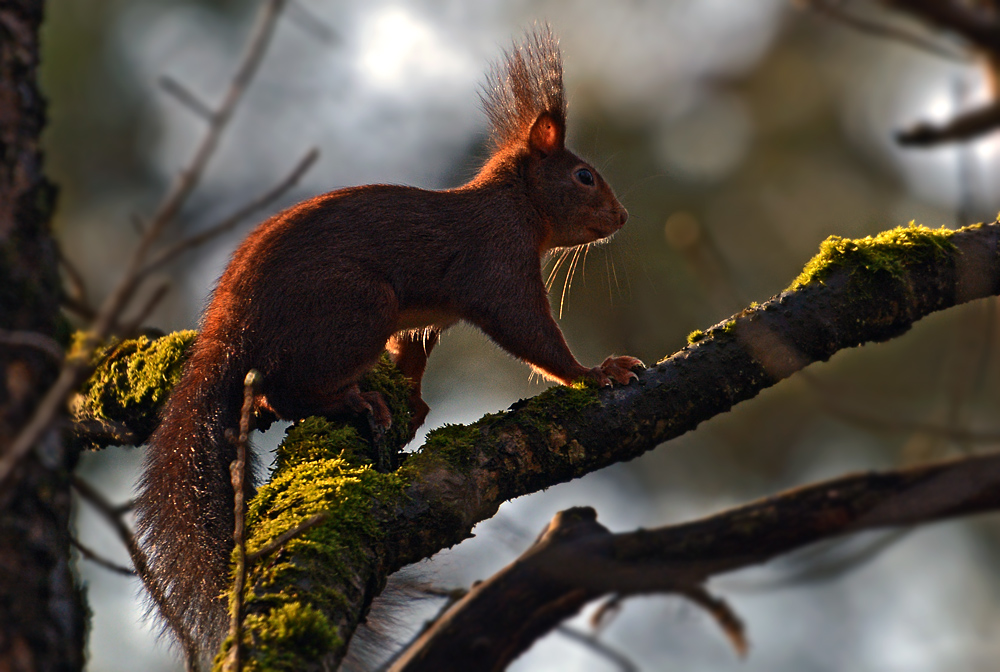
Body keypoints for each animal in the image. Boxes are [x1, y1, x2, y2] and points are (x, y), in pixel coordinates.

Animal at [135, 26, 643, 656]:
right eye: (584, 177)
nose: (622, 217)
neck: (517, 202)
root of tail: (230, 329)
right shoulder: (496, 263)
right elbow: (530, 334)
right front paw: (594, 372)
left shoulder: (430, 317)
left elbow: (416, 353)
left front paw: (414, 397)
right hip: (358, 307)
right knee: (285, 390)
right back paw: (353, 399)